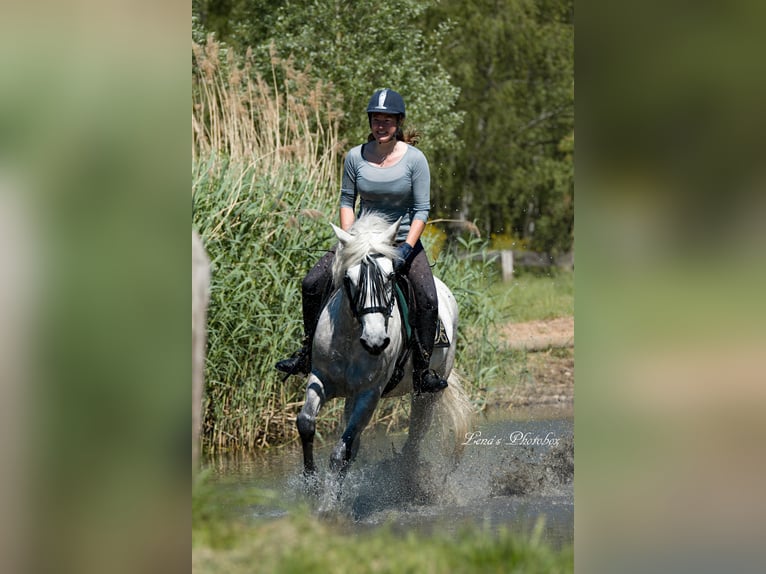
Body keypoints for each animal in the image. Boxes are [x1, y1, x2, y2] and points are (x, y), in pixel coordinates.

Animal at [295, 213, 472, 495]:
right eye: (349, 279)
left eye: (390, 277)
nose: (376, 341)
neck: (351, 338)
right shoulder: (321, 378)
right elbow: (306, 423)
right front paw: (310, 480)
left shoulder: (370, 393)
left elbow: (340, 452)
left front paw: (329, 498)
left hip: (426, 395)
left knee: (414, 436)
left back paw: (408, 480)